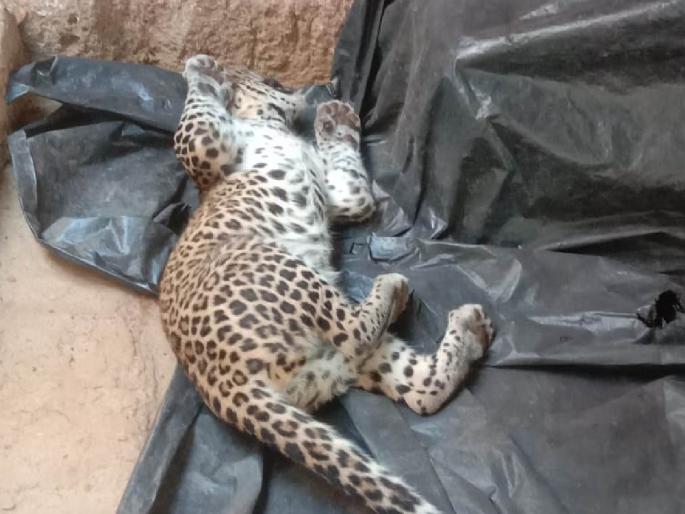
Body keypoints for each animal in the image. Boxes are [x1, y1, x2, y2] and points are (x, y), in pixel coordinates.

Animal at [159, 54, 494, 514]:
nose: (293, 86)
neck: (271, 124)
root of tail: (222, 385)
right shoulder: (207, 153)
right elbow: (194, 122)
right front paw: (201, 69)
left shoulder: (340, 193)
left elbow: (355, 184)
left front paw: (336, 119)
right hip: (265, 259)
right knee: (355, 329)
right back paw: (394, 289)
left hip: (337, 360)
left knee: (419, 387)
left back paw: (468, 330)